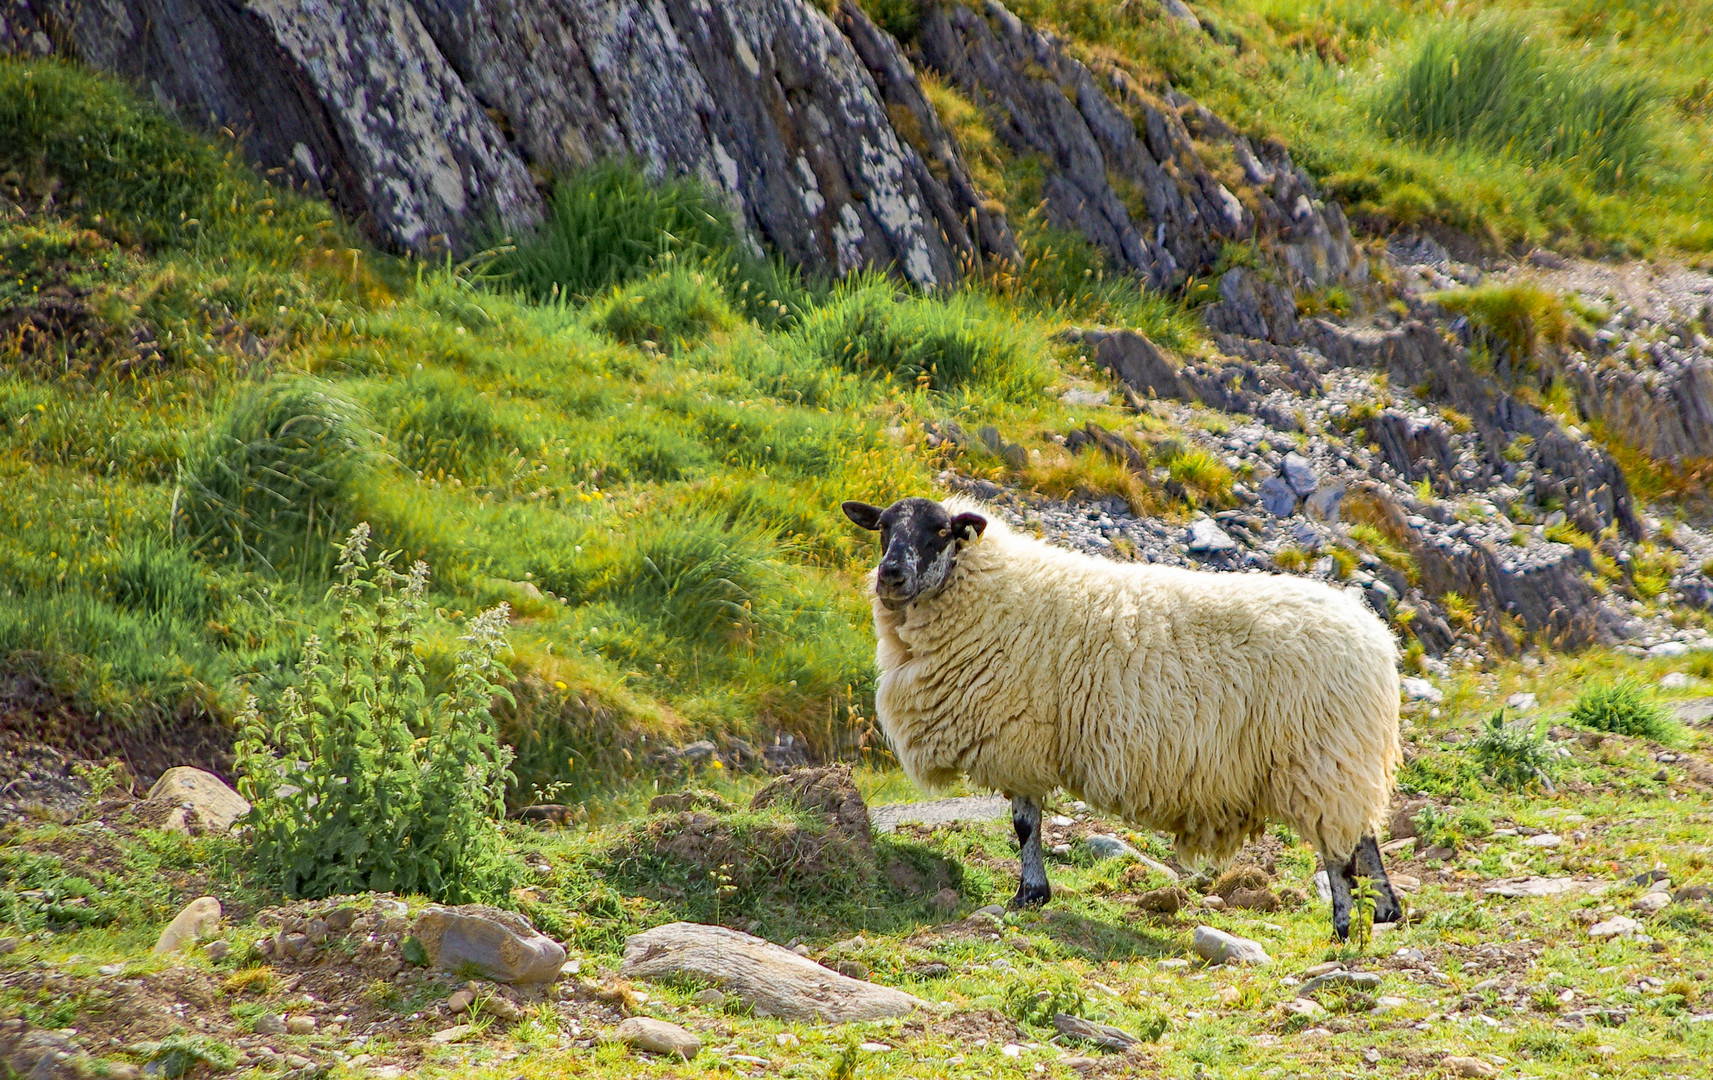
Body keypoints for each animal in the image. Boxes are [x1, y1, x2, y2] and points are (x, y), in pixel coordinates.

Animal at [842, 497, 1404, 939]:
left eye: (940, 532)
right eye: (883, 528)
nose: (890, 576)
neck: (983, 593)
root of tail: (1377, 640)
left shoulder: (1017, 738)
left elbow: (1025, 825)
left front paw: (1029, 894)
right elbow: (1026, 824)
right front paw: (1033, 893)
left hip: (1322, 756)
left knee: (1340, 848)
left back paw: (1344, 923)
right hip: (1341, 758)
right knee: (1363, 836)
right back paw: (1385, 912)